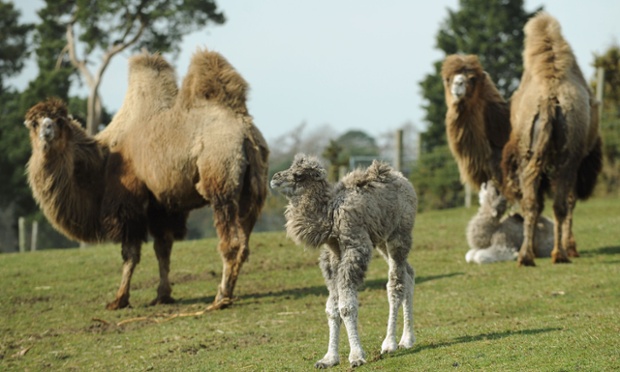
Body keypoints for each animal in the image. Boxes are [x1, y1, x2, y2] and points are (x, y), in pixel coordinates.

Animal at [23, 49, 268, 310]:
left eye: (59, 121)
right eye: (35, 123)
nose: (46, 131)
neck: (103, 159)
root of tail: (245, 133)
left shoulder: (126, 200)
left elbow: (130, 253)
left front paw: (119, 299)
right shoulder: (162, 205)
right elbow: (163, 248)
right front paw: (162, 295)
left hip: (221, 180)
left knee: (231, 241)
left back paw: (220, 298)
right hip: (253, 190)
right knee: (245, 241)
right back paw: (228, 293)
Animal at [270, 154, 416, 370]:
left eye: (298, 175)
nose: (274, 178)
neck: (330, 215)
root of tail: (404, 180)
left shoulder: (354, 247)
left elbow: (346, 306)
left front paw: (356, 356)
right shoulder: (331, 256)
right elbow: (332, 308)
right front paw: (328, 358)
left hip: (399, 234)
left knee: (395, 283)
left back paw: (390, 344)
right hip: (381, 239)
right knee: (409, 273)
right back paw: (407, 340)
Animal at [502, 12, 604, 268]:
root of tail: (550, 100)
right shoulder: (577, 161)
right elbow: (570, 200)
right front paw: (572, 247)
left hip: (532, 155)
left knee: (535, 203)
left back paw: (529, 256)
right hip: (566, 157)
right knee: (559, 203)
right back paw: (558, 253)